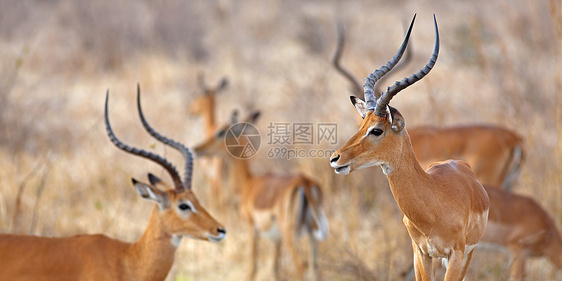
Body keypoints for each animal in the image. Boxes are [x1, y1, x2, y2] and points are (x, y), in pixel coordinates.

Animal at [192, 110, 326, 278]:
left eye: (221, 132)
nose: (197, 148)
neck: (248, 183)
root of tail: (304, 181)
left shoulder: (252, 227)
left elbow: (253, 265)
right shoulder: (276, 238)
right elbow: (275, 268)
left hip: (289, 233)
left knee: (301, 264)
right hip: (312, 235)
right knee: (316, 266)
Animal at [326, 15, 488, 280]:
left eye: (377, 130)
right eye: (362, 124)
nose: (335, 158)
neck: (434, 202)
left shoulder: (456, 254)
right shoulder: (421, 253)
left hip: (467, 255)